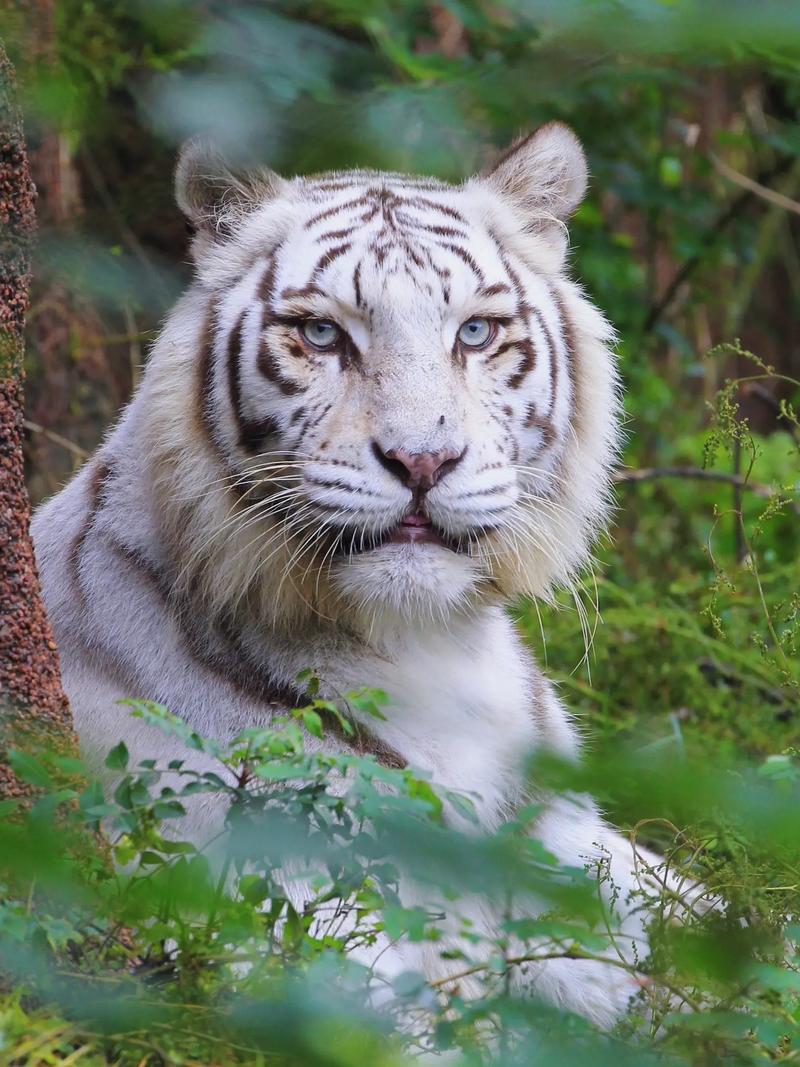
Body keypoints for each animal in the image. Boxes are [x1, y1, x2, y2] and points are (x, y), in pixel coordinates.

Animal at [32, 122, 667, 1027]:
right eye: (323, 336)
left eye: (476, 334)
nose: (422, 459)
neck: (426, 644)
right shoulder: (268, 902)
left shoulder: (570, 841)